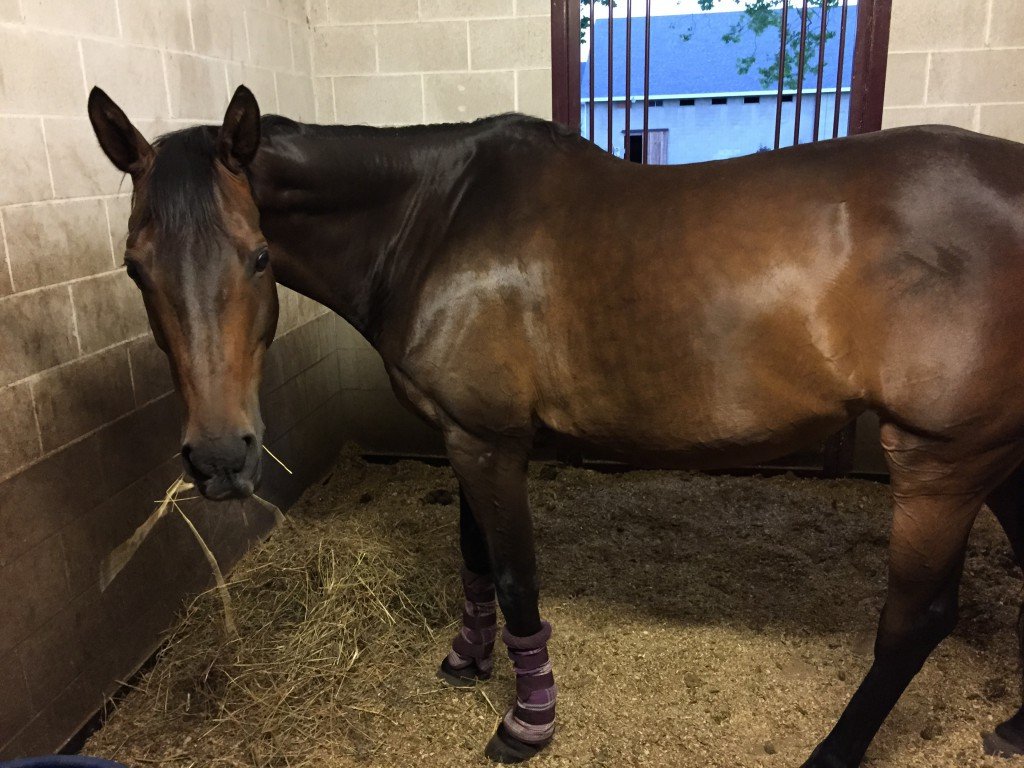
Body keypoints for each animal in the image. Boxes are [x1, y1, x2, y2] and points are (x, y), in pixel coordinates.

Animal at [86, 85, 1024, 768]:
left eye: (256, 256)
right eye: (135, 266)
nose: (219, 457)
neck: (434, 217)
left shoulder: (490, 441)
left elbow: (513, 579)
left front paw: (526, 722)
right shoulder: (460, 434)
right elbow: (473, 558)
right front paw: (467, 661)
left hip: (944, 462)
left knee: (916, 620)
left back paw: (835, 752)